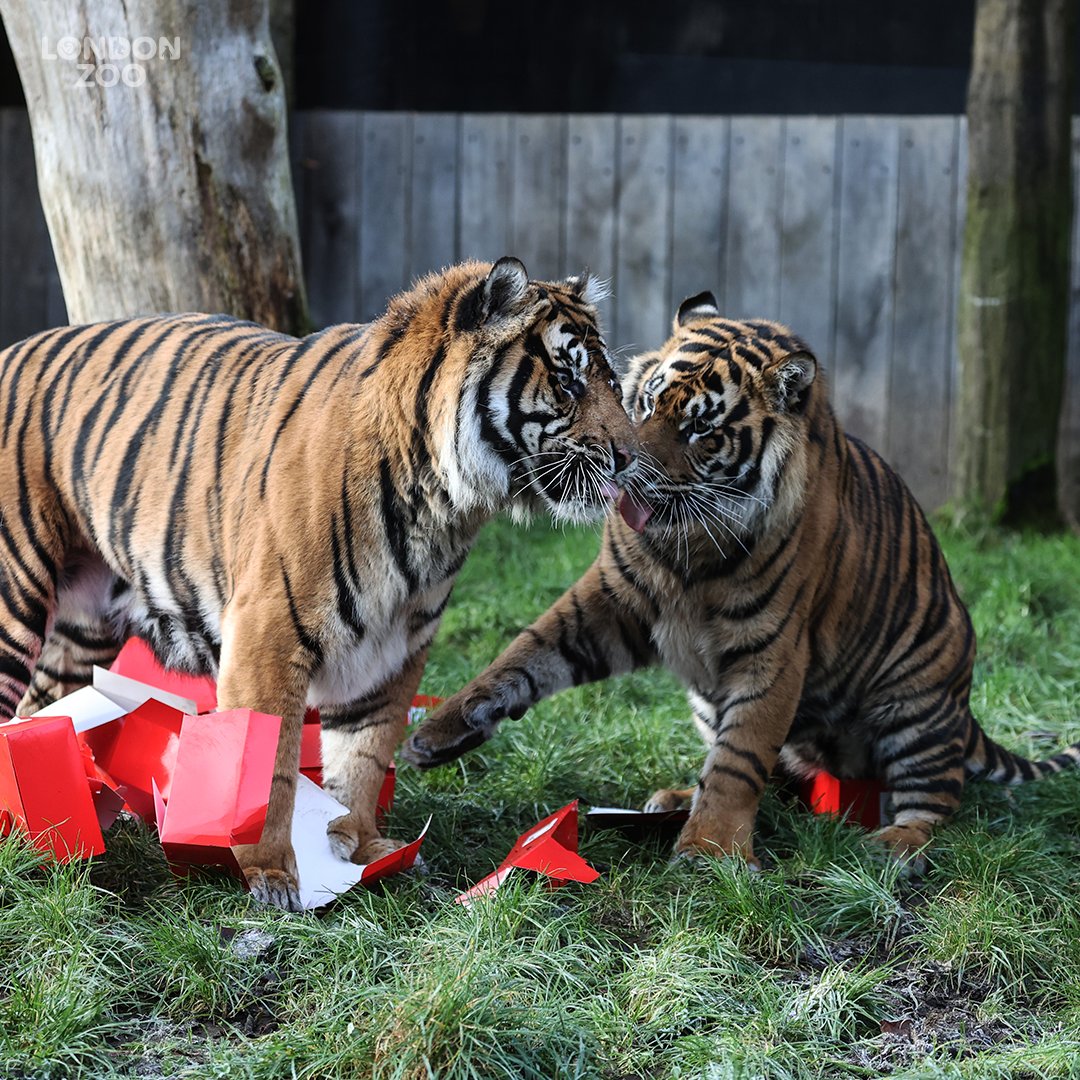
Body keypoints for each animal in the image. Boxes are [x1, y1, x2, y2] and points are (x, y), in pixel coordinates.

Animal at [0, 256, 638, 909]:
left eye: (612, 383)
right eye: (568, 383)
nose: (631, 457)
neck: (442, 507)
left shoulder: (392, 651)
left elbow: (363, 757)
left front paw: (361, 851)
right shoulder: (267, 636)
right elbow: (272, 768)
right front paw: (271, 875)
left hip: (87, 628)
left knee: (37, 712)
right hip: (14, 599)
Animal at [403, 292, 1080, 869]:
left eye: (701, 429)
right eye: (645, 402)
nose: (626, 471)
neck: (684, 549)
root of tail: (964, 712)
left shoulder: (772, 648)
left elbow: (741, 756)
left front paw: (708, 852)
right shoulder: (613, 599)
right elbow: (528, 649)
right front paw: (443, 730)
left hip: (915, 701)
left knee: (936, 803)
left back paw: (891, 845)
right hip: (711, 699)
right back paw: (677, 798)